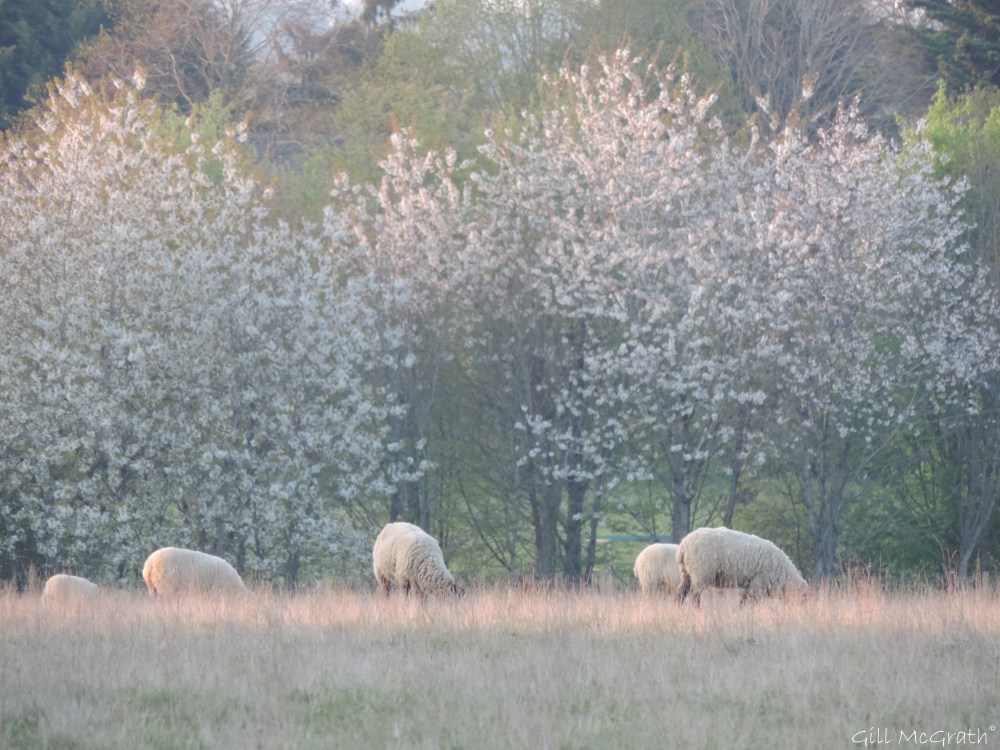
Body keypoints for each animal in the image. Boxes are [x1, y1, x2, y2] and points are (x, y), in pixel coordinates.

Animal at [676, 526, 807, 605]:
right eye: (803, 596)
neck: (785, 574)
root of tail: (683, 546)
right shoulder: (758, 584)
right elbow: (748, 602)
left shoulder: (751, 585)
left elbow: (743, 601)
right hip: (701, 573)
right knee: (694, 596)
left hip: (686, 573)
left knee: (681, 593)